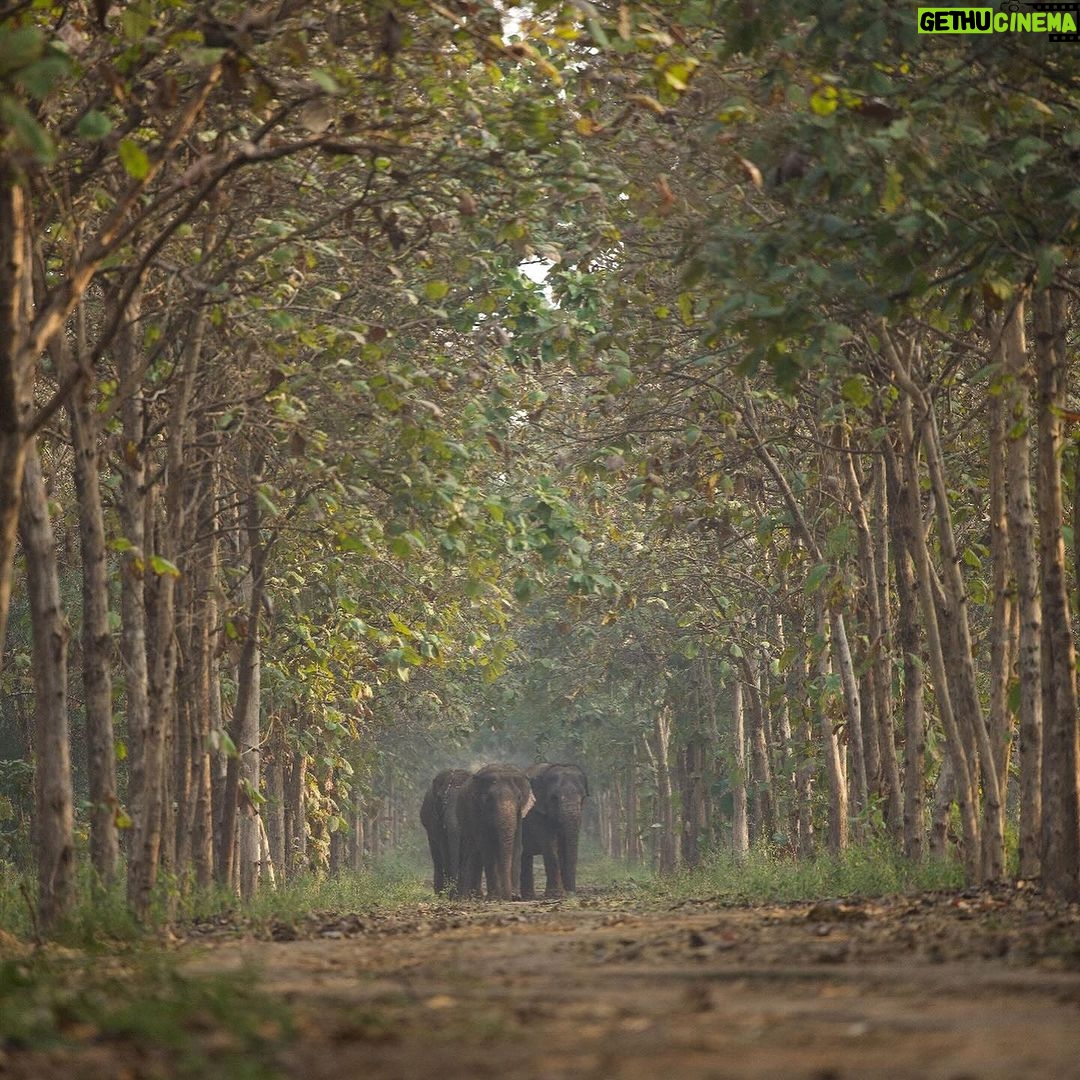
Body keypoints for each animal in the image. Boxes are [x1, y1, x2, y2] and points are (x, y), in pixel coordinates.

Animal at [457, 764, 535, 900]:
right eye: (489, 798)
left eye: (519, 797)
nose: (509, 896)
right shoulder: (477, 812)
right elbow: (487, 847)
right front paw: (494, 897)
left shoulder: (519, 815)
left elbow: (517, 846)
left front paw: (515, 896)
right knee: (473, 851)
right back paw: (469, 896)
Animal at [521, 763, 589, 900]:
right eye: (554, 798)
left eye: (583, 797)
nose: (571, 893)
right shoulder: (537, 814)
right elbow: (550, 846)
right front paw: (555, 894)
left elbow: (563, 847)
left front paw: (566, 893)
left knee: (526, 855)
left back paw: (529, 896)